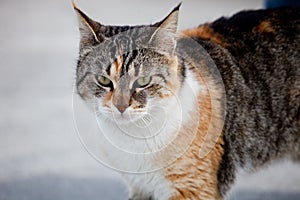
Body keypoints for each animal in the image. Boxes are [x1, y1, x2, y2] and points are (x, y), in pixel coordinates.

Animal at [73, 1, 300, 200]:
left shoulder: (193, 188)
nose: (120, 106)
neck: (136, 134)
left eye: (143, 81)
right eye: (104, 80)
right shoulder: (141, 187)